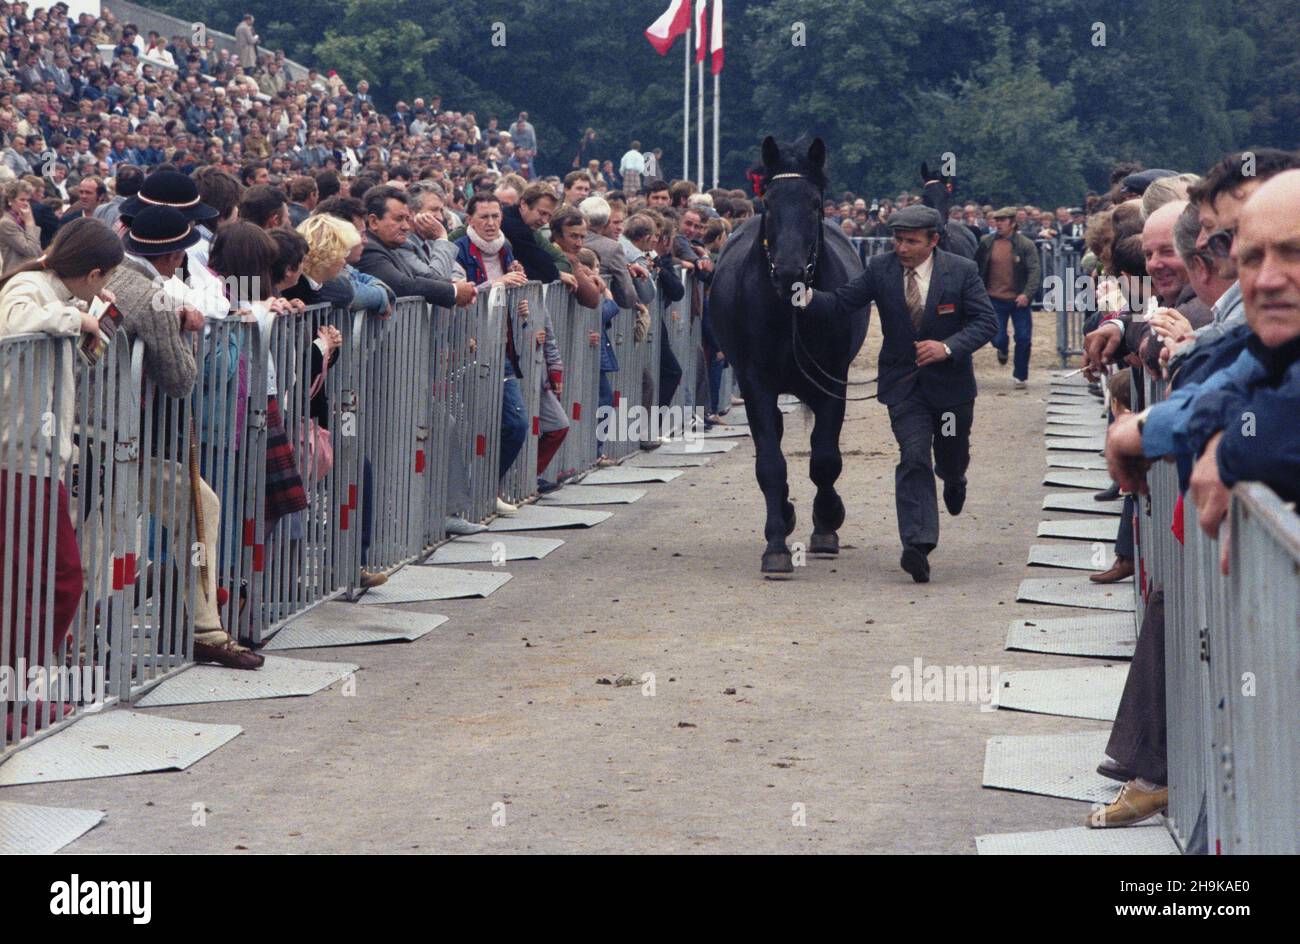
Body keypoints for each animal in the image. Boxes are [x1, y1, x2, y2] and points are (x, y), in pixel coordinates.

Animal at [712, 135, 863, 572]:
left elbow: (825, 458)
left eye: (814, 202)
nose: (789, 272)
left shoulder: (832, 381)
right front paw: (777, 545)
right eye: (768, 202)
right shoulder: (755, 382)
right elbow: (770, 463)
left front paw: (827, 522)